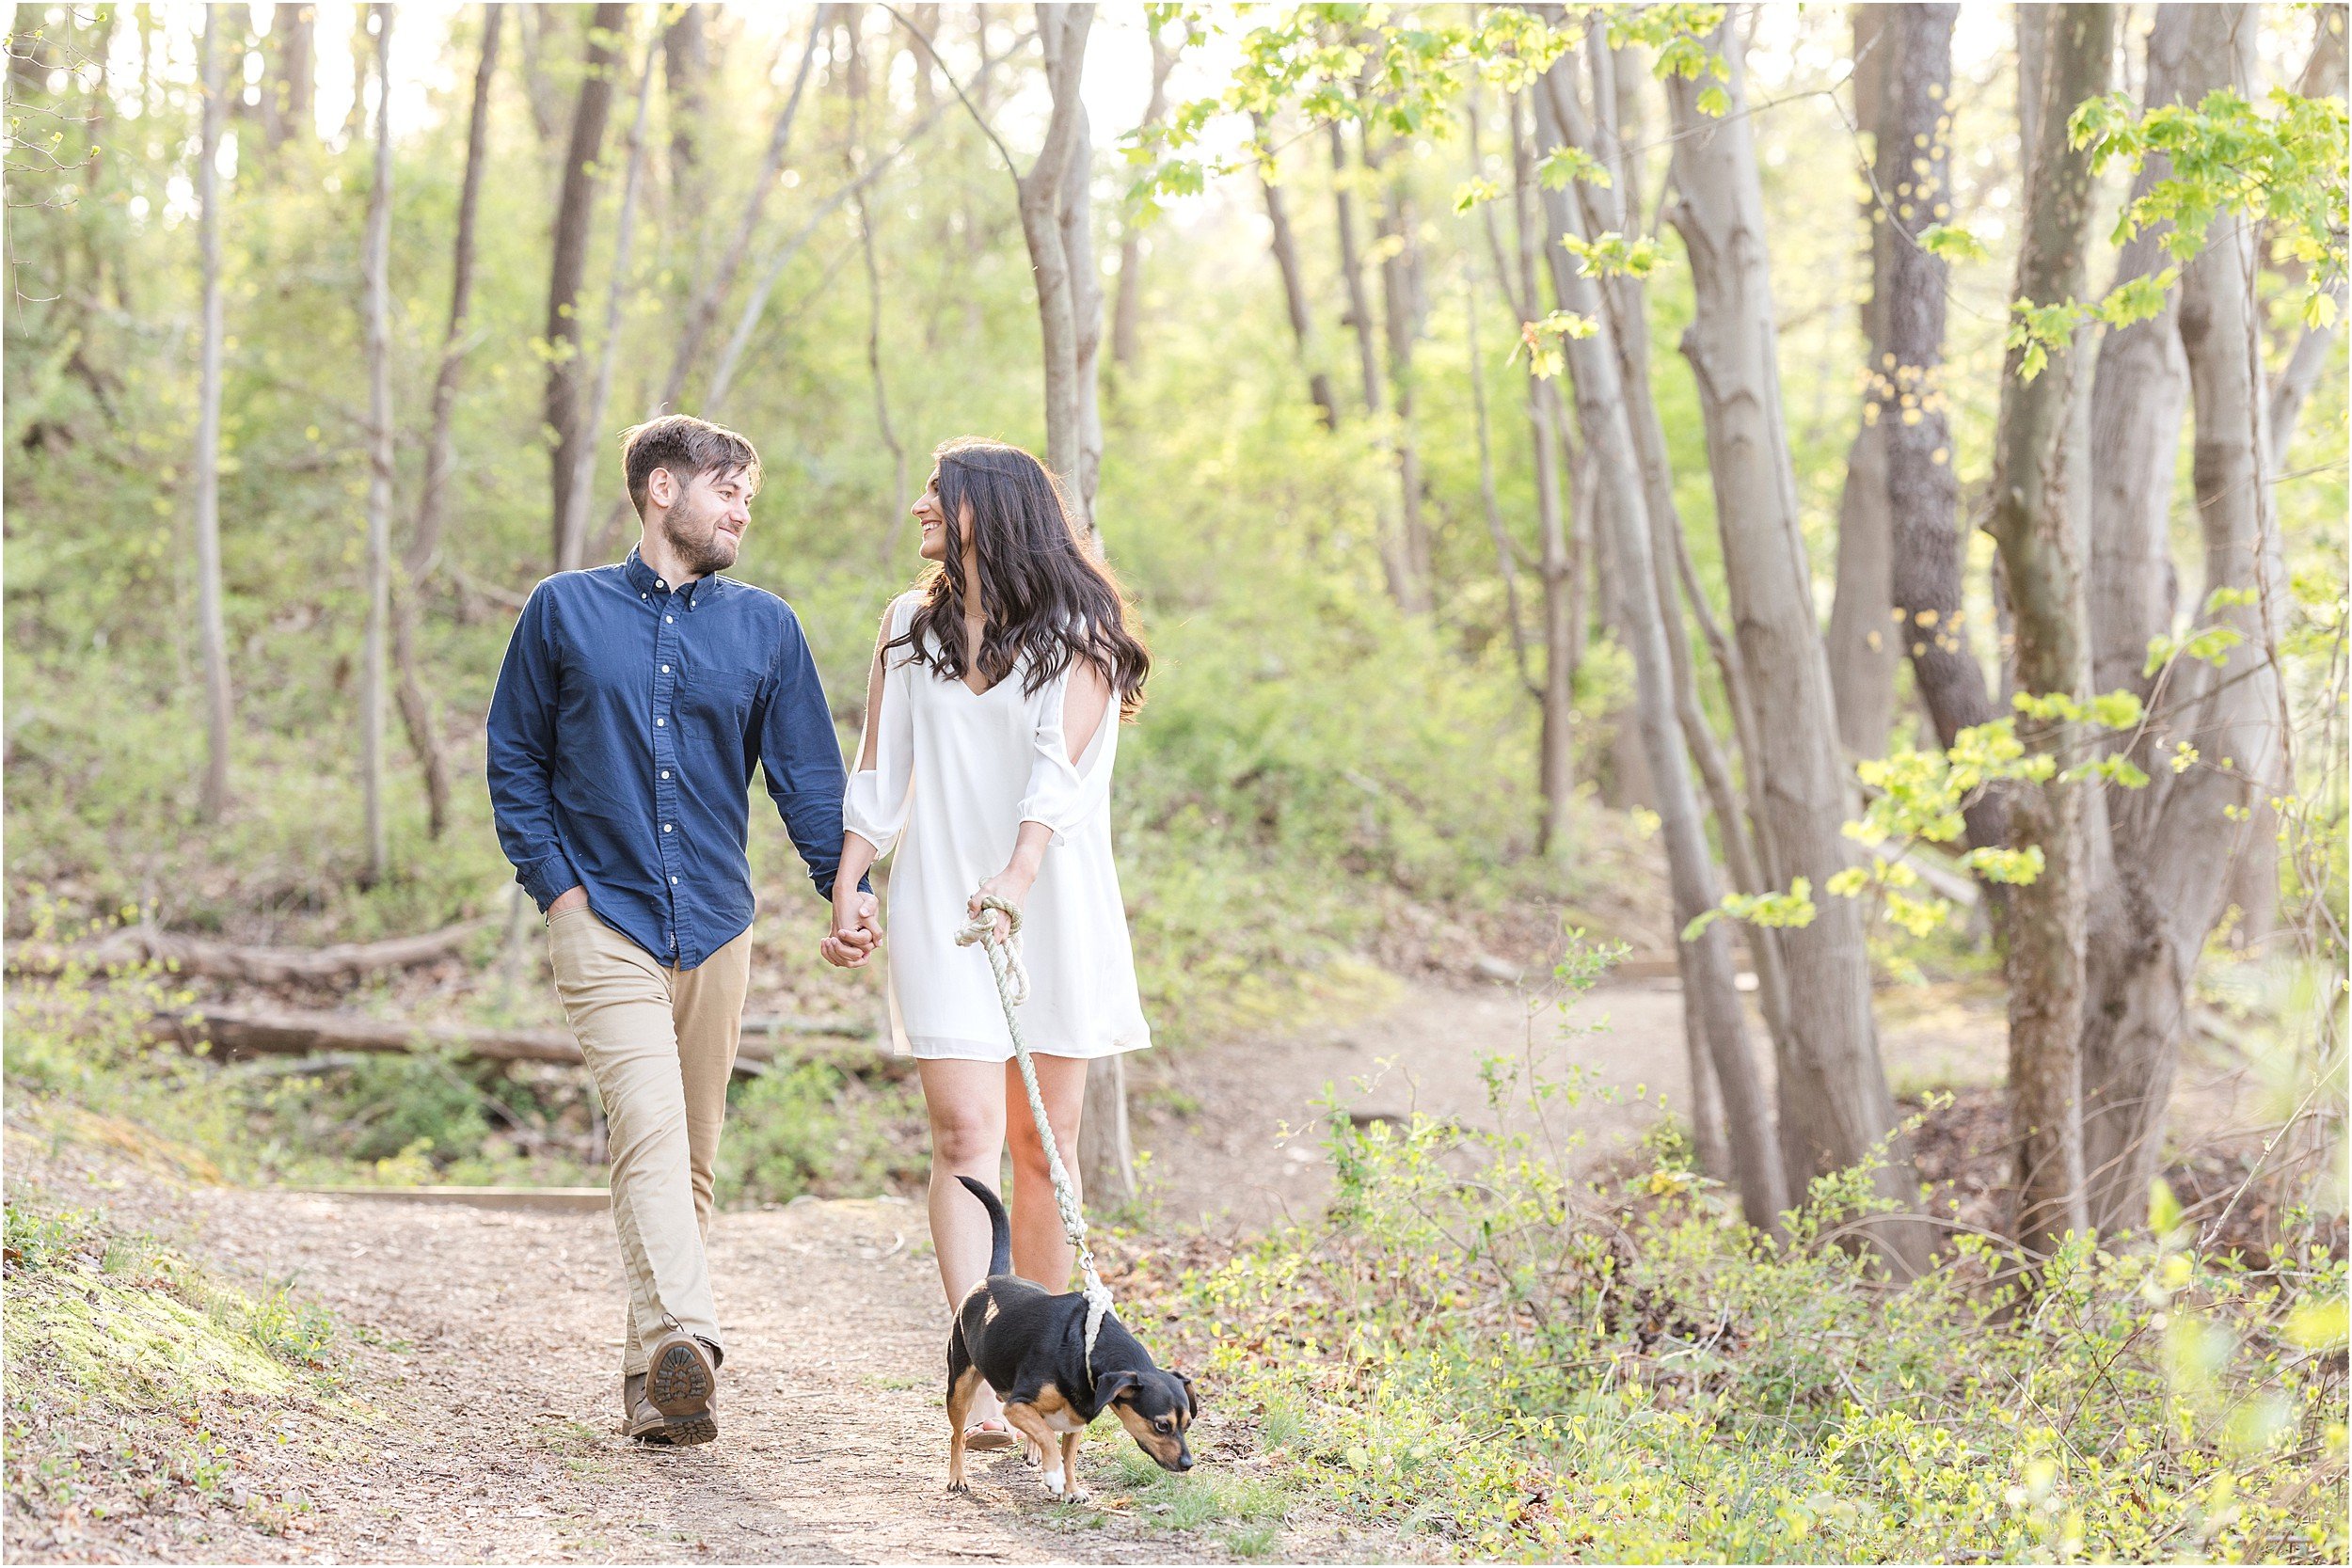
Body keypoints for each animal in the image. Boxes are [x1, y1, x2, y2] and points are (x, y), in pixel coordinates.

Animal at [941, 1175, 1195, 1495]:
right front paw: (1054, 1475)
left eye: (1187, 1424)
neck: (1088, 1345)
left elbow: (1069, 1455)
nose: (1188, 1464)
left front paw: (1072, 1489)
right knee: (957, 1434)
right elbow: (1049, 1438)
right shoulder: (1016, 1405)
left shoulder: (1076, 1418)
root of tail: (992, 1278)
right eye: (1162, 1425)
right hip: (960, 1385)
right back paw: (957, 1476)